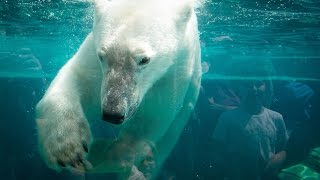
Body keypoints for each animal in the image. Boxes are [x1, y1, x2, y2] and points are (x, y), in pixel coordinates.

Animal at [35, 0, 200, 174]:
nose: (112, 113)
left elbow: (151, 117)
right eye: (102, 56)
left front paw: (100, 155)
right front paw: (67, 151)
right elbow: (78, 77)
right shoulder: (93, 54)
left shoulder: (174, 72)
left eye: (144, 60)